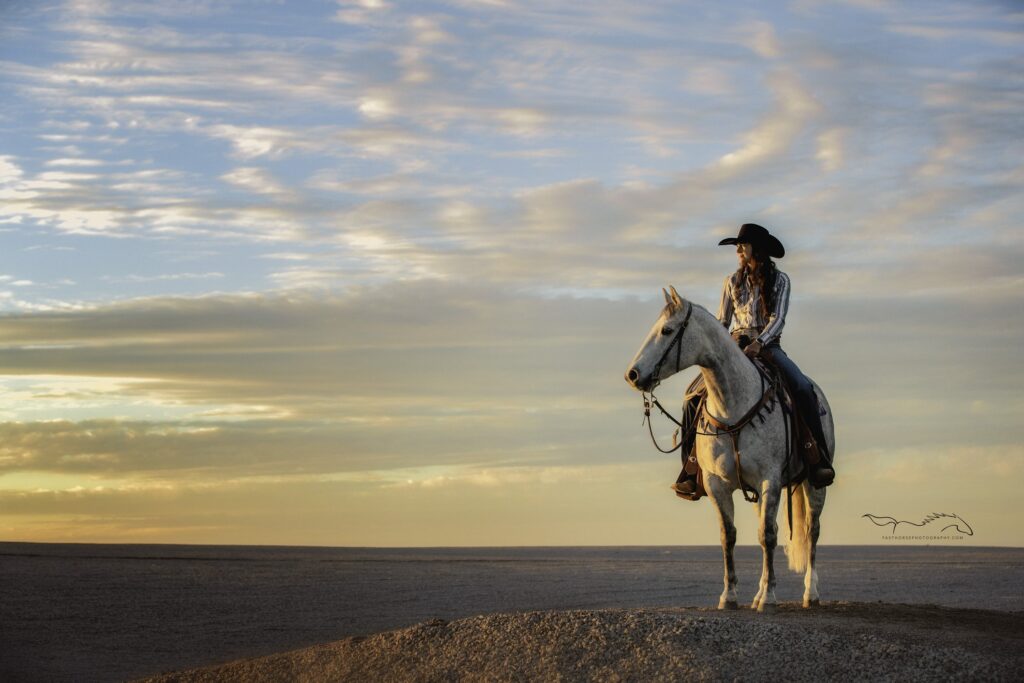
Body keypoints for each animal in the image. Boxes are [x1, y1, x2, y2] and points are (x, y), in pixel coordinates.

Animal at [622, 286, 831, 610]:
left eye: (667, 330)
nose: (632, 375)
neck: (734, 404)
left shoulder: (770, 479)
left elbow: (768, 535)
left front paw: (769, 599)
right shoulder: (716, 484)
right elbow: (728, 536)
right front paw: (730, 595)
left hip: (814, 484)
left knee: (811, 531)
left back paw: (811, 594)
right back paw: (758, 593)